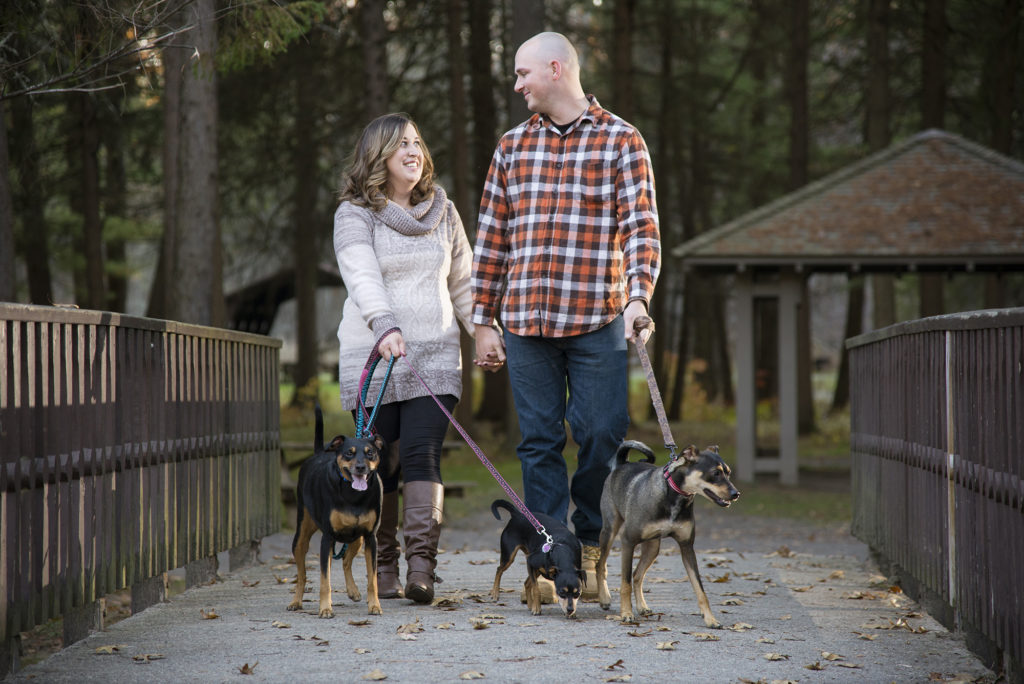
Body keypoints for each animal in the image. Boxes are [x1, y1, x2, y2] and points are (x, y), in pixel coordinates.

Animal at [286, 405, 385, 618]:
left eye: (370, 453)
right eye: (349, 453)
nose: (360, 467)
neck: (353, 495)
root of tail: (317, 454)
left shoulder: (371, 538)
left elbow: (372, 579)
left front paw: (374, 605)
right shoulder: (327, 537)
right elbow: (325, 580)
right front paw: (325, 608)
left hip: (357, 539)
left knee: (346, 561)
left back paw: (353, 591)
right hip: (301, 535)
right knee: (302, 574)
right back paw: (296, 601)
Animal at [598, 440, 741, 626]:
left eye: (728, 473)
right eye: (715, 473)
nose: (736, 494)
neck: (673, 495)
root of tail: (622, 464)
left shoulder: (687, 547)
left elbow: (699, 588)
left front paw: (710, 619)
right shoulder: (628, 541)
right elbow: (625, 583)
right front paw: (626, 613)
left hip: (653, 547)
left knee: (637, 575)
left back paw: (642, 606)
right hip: (609, 531)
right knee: (601, 565)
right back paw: (604, 598)